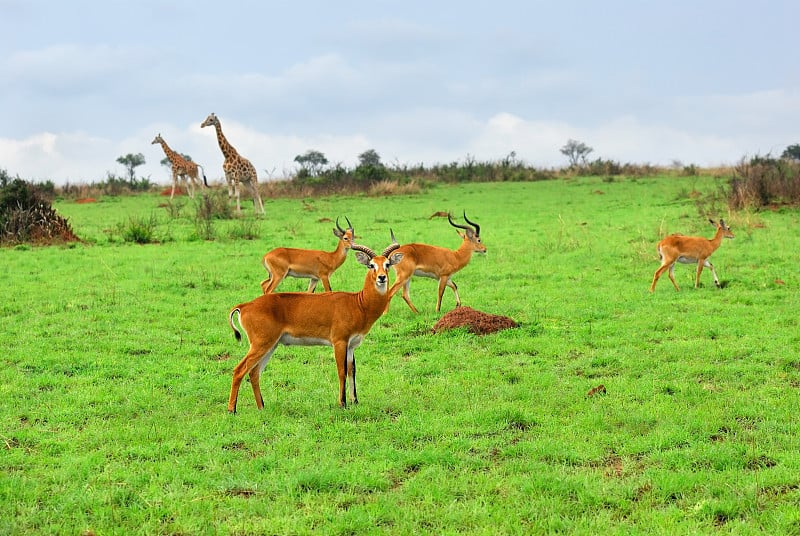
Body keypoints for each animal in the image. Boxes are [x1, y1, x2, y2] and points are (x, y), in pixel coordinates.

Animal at [227, 241, 404, 412]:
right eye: (371, 265)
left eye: (387, 264)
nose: (381, 277)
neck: (359, 303)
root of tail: (244, 306)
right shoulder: (339, 342)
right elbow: (341, 371)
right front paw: (342, 403)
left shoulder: (351, 346)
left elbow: (352, 371)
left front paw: (355, 401)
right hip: (261, 344)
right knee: (239, 370)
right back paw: (232, 410)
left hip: (271, 345)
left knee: (254, 372)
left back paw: (261, 407)